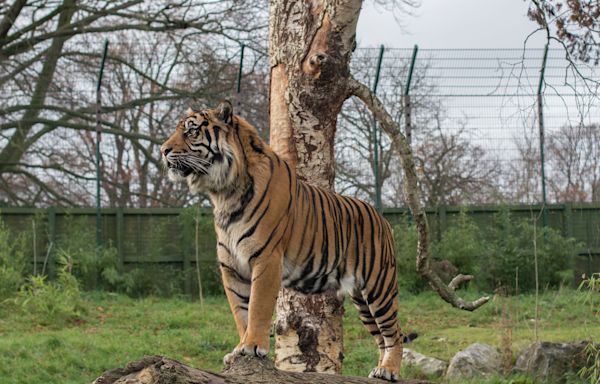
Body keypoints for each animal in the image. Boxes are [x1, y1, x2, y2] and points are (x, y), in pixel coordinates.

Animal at [159, 100, 418, 380]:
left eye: (191, 131)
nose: (163, 150)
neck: (223, 193)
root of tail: (383, 219)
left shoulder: (266, 259)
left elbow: (258, 307)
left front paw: (253, 346)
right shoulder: (231, 268)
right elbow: (241, 313)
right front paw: (239, 348)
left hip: (379, 287)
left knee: (393, 333)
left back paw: (389, 370)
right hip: (361, 298)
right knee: (382, 337)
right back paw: (380, 369)